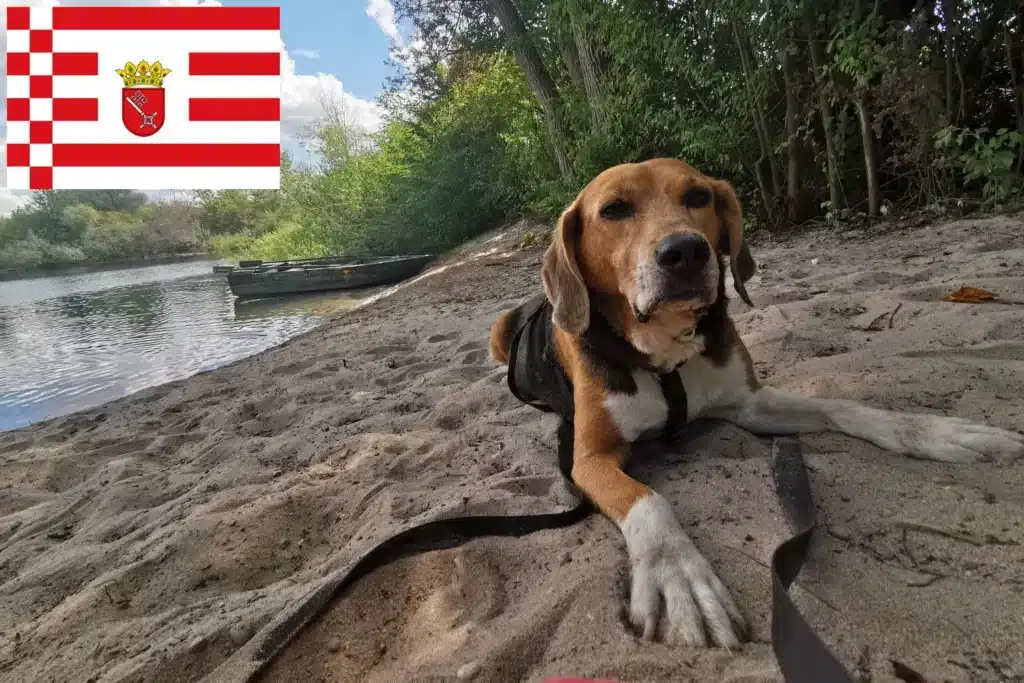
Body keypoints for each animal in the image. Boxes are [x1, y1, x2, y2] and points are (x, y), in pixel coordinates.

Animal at [489, 156, 1024, 651]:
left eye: (698, 197)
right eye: (614, 210)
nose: (685, 251)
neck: (665, 347)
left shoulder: (750, 404)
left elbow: (844, 407)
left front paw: (936, 432)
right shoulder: (589, 460)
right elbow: (648, 501)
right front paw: (678, 574)